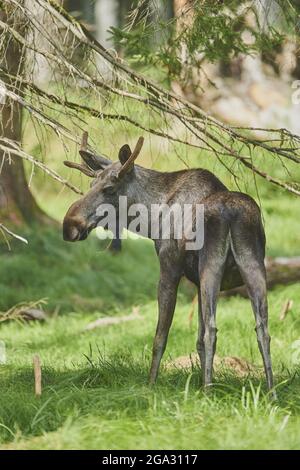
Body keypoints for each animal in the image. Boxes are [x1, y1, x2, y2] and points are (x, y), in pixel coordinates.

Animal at [63, 134, 274, 394]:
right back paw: (270, 393)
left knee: (212, 329)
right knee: (262, 329)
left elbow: (160, 337)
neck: (152, 219)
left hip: (211, 267)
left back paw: (209, 392)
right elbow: (197, 339)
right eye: (91, 184)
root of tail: (231, 214)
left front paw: (151, 385)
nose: (69, 225)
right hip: (253, 266)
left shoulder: (169, 269)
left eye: (109, 188)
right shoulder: (195, 282)